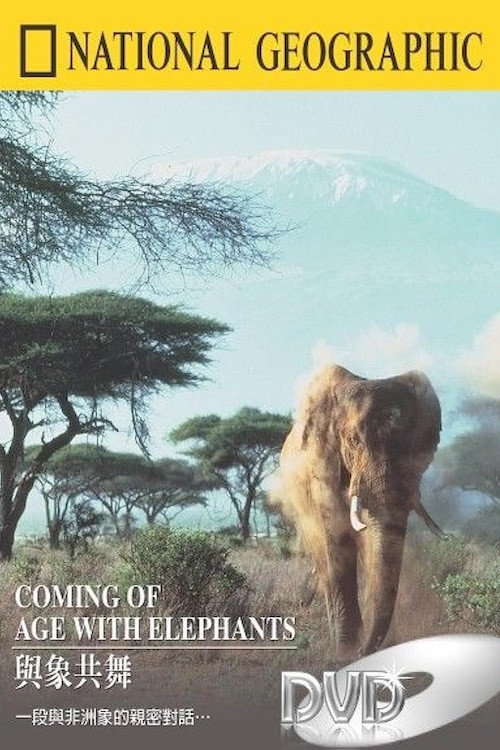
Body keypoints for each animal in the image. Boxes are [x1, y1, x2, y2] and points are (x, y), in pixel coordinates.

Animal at [272, 363, 444, 656]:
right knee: (323, 557)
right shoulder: (323, 465)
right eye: (353, 441)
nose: (364, 652)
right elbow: (337, 542)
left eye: (413, 447)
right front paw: (344, 650)